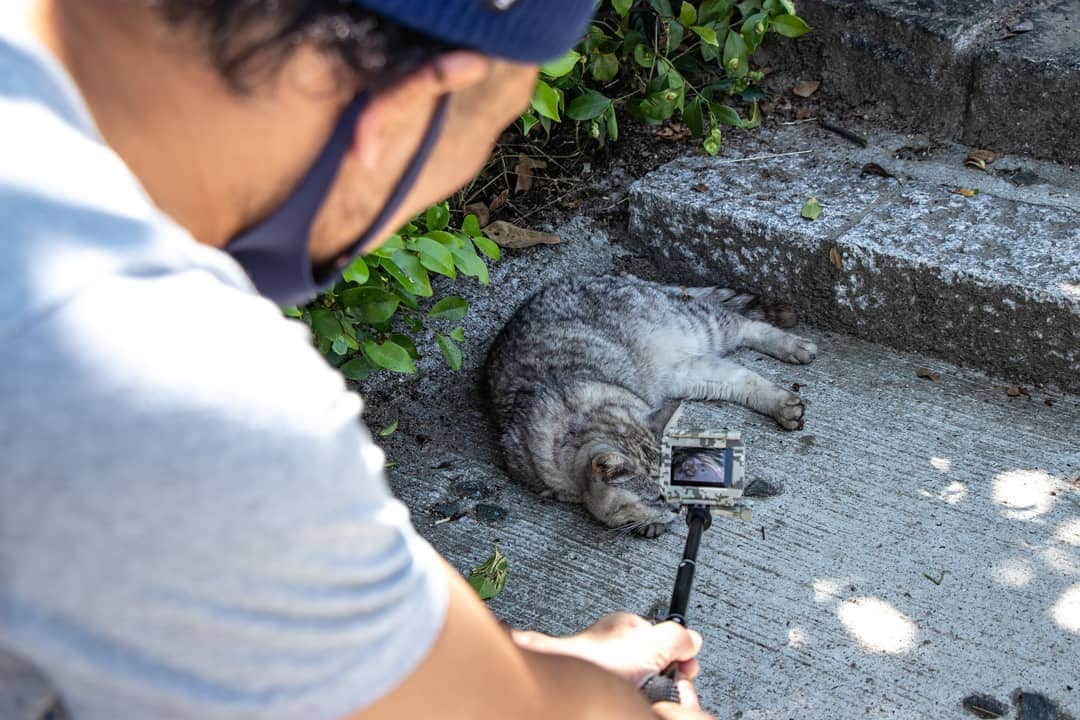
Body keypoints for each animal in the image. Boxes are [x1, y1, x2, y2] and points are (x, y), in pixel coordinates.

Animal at [486, 273, 812, 537]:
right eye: (656, 497)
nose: (679, 509)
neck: (582, 414)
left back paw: (793, 347)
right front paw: (649, 520)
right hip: (690, 374)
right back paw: (784, 404)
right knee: (743, 377)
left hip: (699, 326)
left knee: (745, 324)